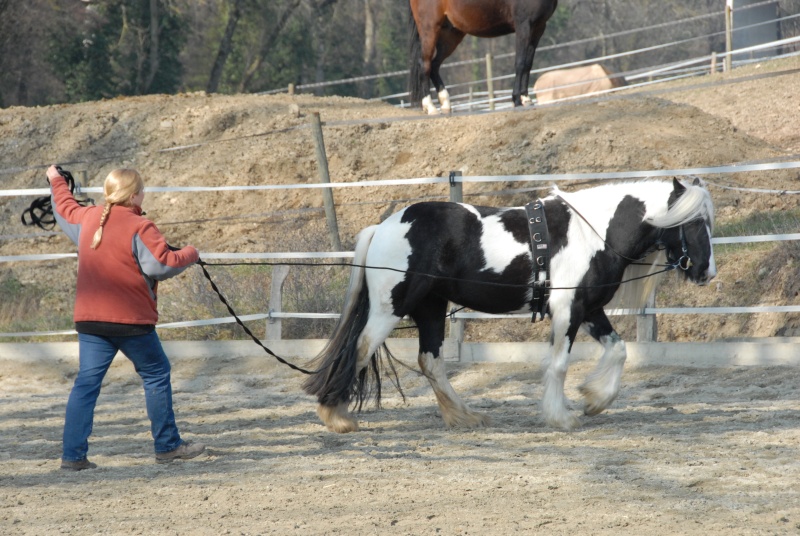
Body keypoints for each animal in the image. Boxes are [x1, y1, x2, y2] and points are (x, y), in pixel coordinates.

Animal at [304, 179, 716, 432]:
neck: (593, 233)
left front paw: (594, 400)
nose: (707, 271)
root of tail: (383, 227)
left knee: (430, 361)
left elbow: (618, 351)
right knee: (360, 348)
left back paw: (465, 416)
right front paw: (561, 417)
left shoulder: (588, 310)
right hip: (389, 308)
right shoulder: (568, 310)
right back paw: (336, 416)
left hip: (431, 308)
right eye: (695, 221)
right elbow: (559, 364)